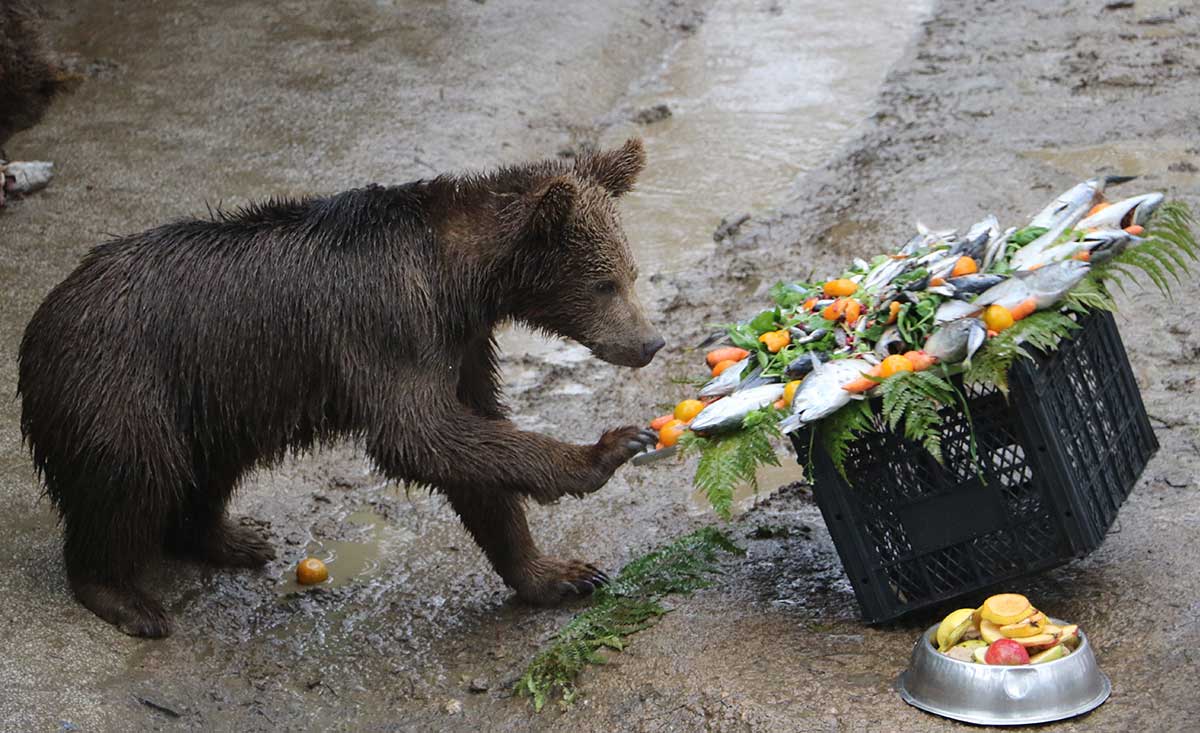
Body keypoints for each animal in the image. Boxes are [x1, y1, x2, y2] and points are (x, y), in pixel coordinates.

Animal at [16, 136, 667, 638]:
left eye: (631, 274)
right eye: (606, 283)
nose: (650, 342)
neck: (459, 276)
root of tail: (44, 315)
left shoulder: (459, 344)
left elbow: (474, 448)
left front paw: (558, 573)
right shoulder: (389, 324)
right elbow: (420, 435)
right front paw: (608, 450)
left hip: (219, 392)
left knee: (212, 465)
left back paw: (234, 537)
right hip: (121, 380)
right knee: (133, 474)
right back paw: (125, 596)